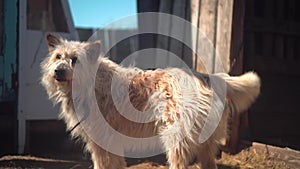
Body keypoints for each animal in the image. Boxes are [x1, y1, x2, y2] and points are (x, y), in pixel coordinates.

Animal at [41, 33, 260, 168]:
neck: (91, 81)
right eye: (58, 56)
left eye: (75, 59)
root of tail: (206, 77)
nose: (57, 71)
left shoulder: (100, 141)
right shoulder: (110, 142)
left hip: (176, 138)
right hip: (205, 144)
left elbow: (102, 164)